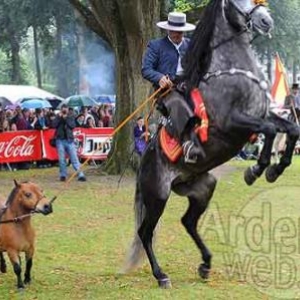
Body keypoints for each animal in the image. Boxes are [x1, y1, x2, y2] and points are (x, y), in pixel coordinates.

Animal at [123, 0, 298, 288]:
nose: (265, 21)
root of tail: (144, 160)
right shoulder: (234, 122)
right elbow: (271, 130)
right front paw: (256, 170)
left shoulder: (262, 115)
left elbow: (290, 129)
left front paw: (274, 169)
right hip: (158, 196)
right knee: (145, 232)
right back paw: (161, 275)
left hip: (203, 188)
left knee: (188, 222)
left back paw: (205, 264)